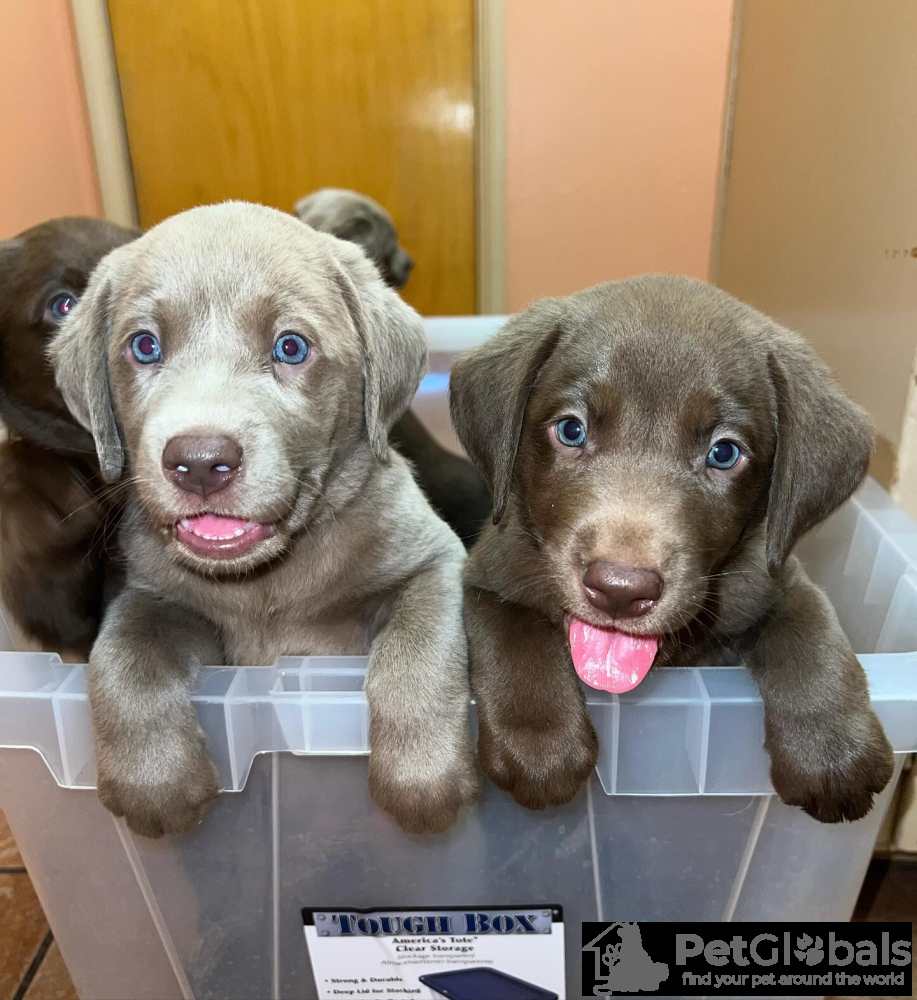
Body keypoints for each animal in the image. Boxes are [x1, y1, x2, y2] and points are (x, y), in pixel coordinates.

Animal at [450, 276, 894, 824]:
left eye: (723, 453)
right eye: (571, 430)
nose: (620, 591)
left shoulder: (776, 577)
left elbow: (809, 629)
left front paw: (833, 751)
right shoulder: (487, 573)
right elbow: (511, 626)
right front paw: (539, 744)